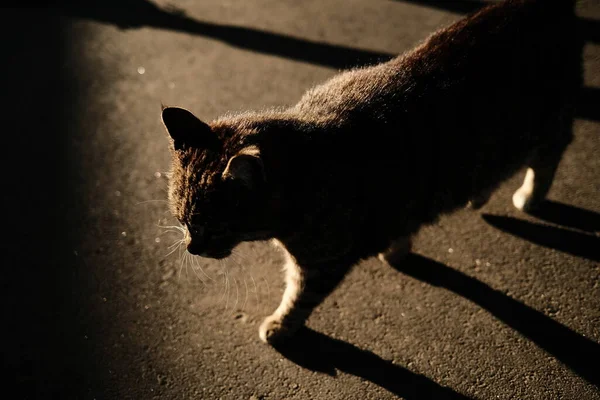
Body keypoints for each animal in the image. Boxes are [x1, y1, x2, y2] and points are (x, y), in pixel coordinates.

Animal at [159, 0, 580, 344]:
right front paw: (397, 249)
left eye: (215, 228)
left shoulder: (322, 262)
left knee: (551, 153)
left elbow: (298, 297)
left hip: (543, 127)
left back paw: (529, 196)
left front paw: (280, 326)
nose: (191, 247)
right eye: (181, 221)